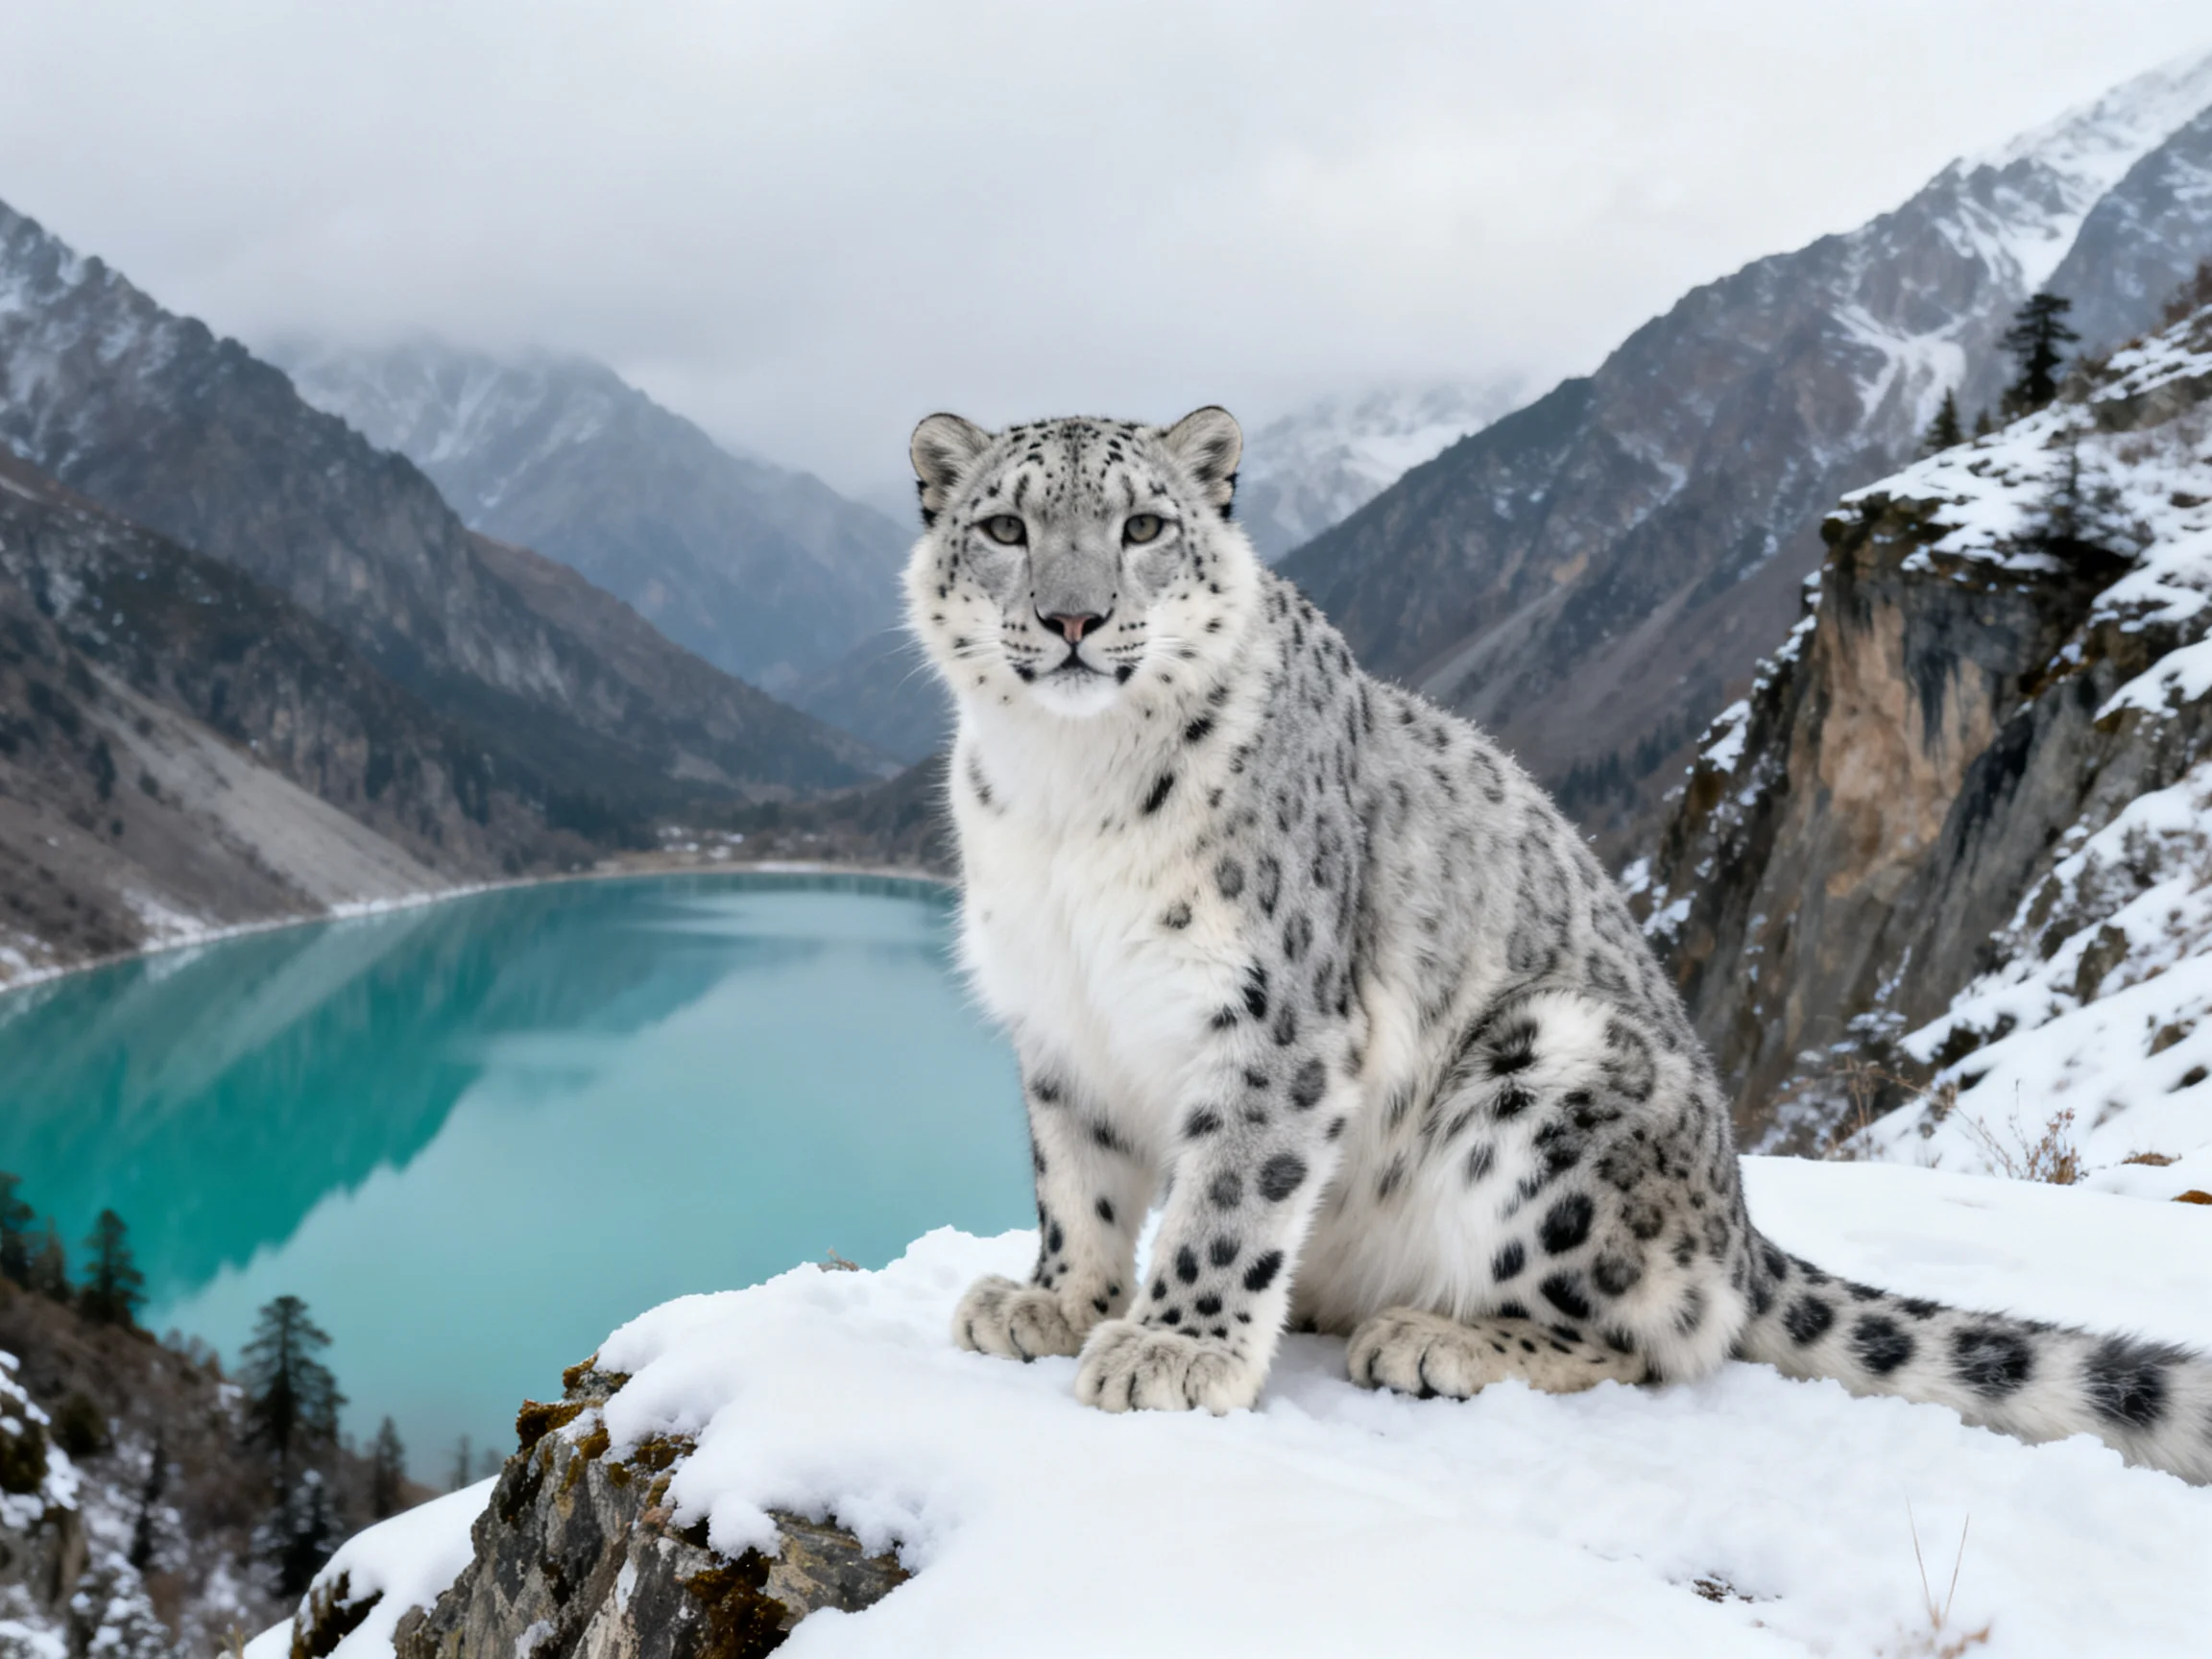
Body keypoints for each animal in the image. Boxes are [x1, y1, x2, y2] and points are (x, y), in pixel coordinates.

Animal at [901, 404, 2212, 1484]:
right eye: (1007, 526)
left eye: (1145, 525)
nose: (1073, 616)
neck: (1068, 796)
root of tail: (1741, 1228)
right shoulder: (1061, 1016)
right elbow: (1078, 1177)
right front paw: (1055, 1303)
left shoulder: (1278, 1016)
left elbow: (1232, 1189)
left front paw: (1175, 1348)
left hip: (1551, 1069)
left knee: (1644, 1333)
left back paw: (1434, 1339)